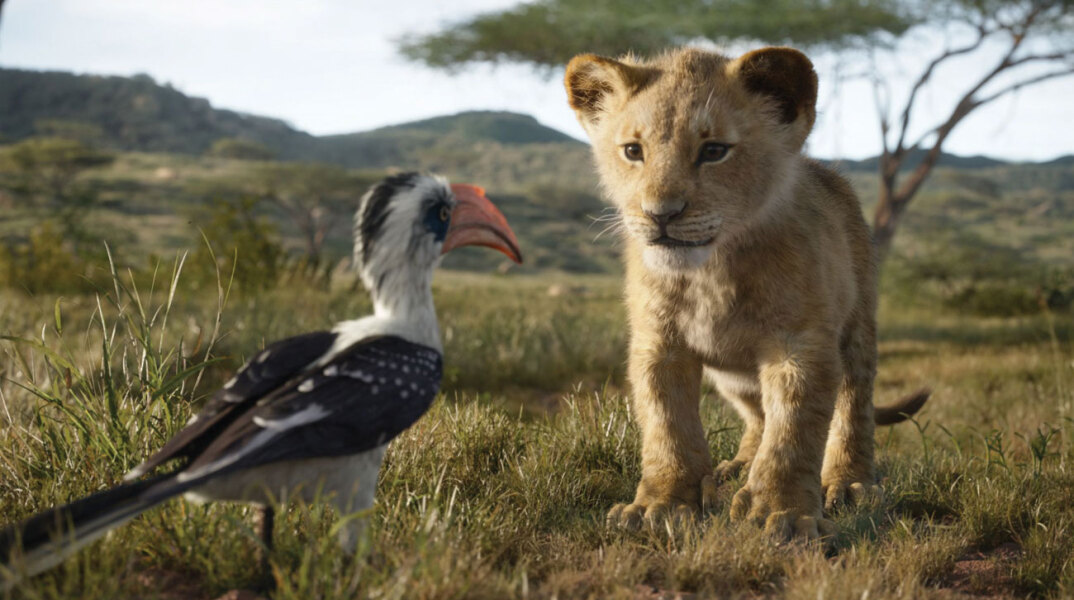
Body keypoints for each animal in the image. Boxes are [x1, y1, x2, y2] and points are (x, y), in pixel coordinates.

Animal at [563, 46, 928, 540]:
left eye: (714, 151)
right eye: (633, 151)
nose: (660, 214)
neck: (711, 272)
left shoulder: (800, 344)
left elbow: (793, 431)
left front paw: (783, 513)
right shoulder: (658, 344)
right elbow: (667, 425)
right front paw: (661, 505)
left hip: (857, 328)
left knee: (853, 405)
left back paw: (849, 482)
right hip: (732, 375)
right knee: (757, 415)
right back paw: (735, 468)